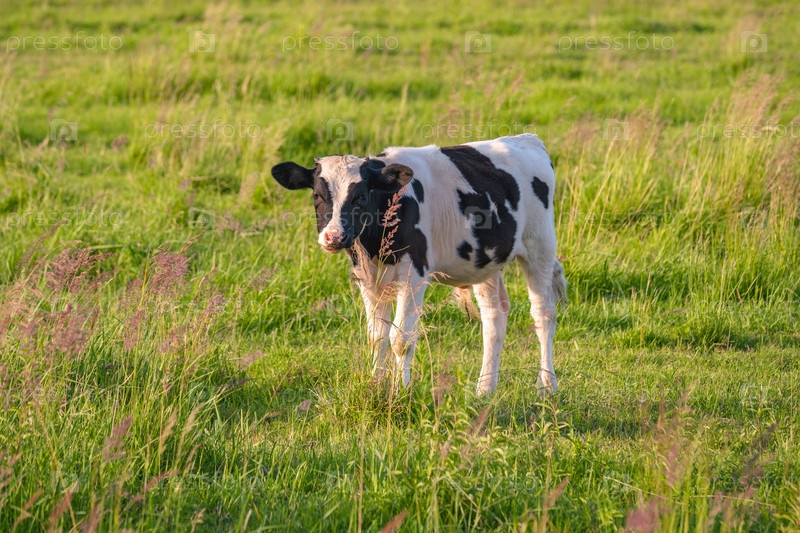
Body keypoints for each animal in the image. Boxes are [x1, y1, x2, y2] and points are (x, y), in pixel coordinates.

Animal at [271, 133, 566, 395]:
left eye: (360, 196)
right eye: (317, 196)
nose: (334, 236)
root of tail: (527, 139)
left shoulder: (413, 276)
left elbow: (401, 339)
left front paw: (400, 392)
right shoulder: (367, 280)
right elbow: (376, 338)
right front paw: (375, 388)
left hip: (540, 246)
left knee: (543, 314)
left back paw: (547, 386)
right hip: (486, 261)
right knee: (494, 316)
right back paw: (485, 390)